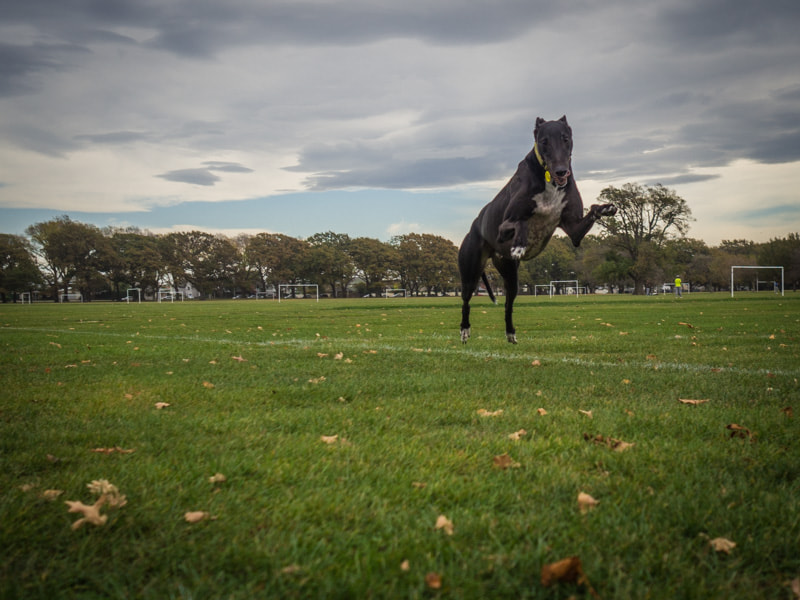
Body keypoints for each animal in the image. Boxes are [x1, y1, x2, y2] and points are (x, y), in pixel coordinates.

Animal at [456, 116, 620, 342]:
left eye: (565, 138)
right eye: (544, 141)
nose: (561, 171)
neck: (549, 180)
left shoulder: (574, 230)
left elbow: (591, 213)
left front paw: (606, 207)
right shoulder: (503, 227)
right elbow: (523, 222)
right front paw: (519, 245)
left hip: (511, 277)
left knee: (508, 305)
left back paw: (511, 333)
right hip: (471, 271)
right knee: (466, 301)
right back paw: (465, 329)